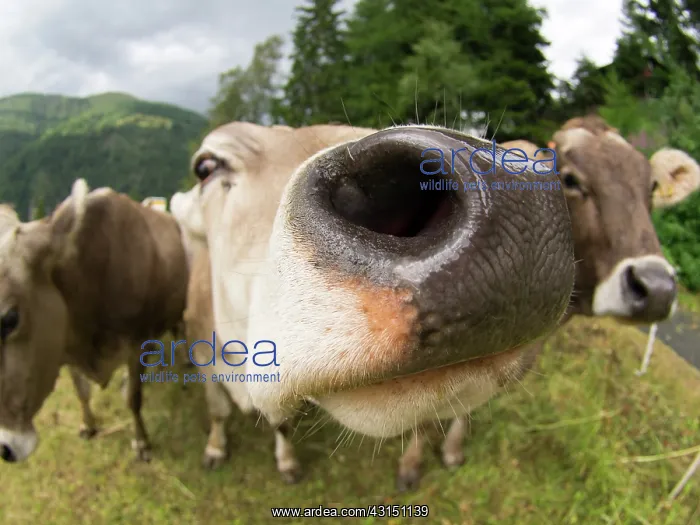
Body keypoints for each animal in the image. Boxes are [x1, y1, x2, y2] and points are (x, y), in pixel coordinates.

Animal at [0, 180, 189, 463]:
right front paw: (87, 425)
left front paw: (142, 443)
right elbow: (82, 392)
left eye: (10, 318)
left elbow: (134, 397)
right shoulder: (64, 347)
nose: (4, 447)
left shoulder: (136, 344)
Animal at [169, 121, 576, 485]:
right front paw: (216, 450)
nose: (504, 182)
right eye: (205, 167)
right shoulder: (200, 349)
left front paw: (286, 462)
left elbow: (280, 423)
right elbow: (218, 411)